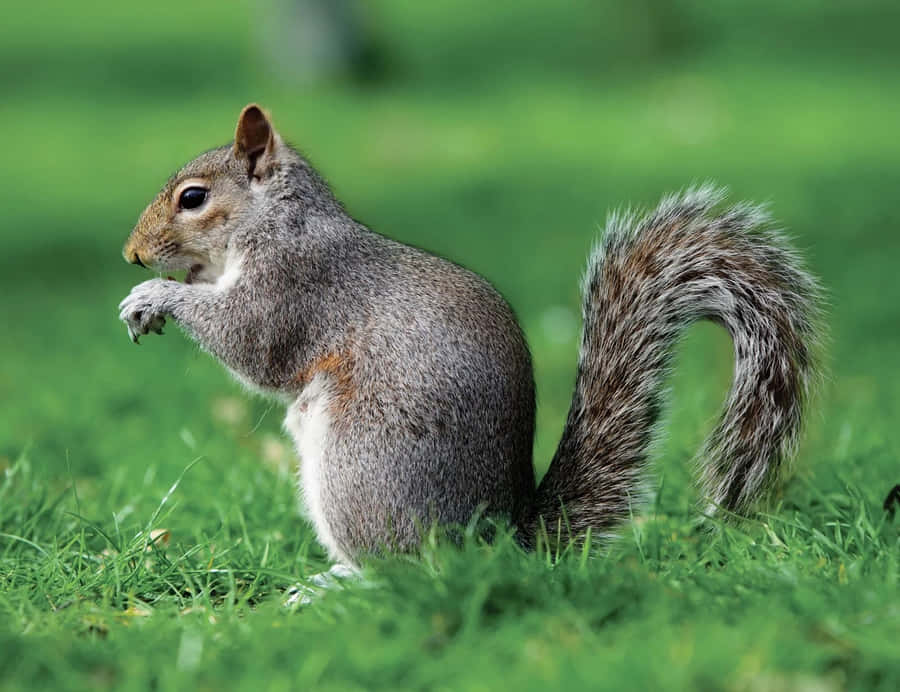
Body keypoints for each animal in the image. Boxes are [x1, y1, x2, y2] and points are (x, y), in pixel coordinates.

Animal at [119, 104, 822, 567]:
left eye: (192, 198)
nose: (132, 255)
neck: (275, 222)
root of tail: (501, 539)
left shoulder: (295, 286)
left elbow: (250, 343)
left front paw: (155, 297)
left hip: (358, 469)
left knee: (404, 570)